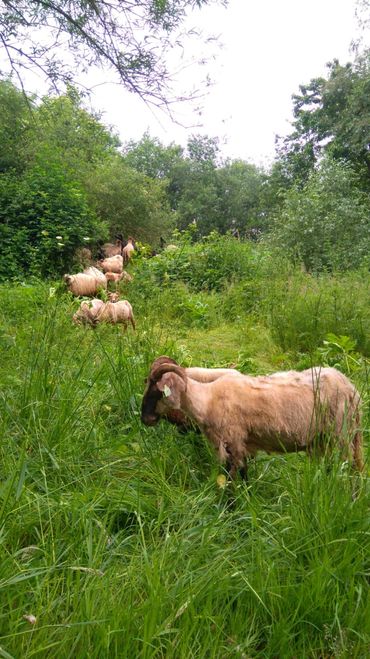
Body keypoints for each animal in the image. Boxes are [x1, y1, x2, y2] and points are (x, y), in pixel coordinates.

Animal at [142, 360, 364, 480]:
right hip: (323, 439)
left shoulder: (232, 443)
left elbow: (230, 481)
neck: (208, 399)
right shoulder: (243, 446)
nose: (145, 419)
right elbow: (244, 475)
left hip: (342, 435)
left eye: (157, 391)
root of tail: (351, 388)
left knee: (349, 470)